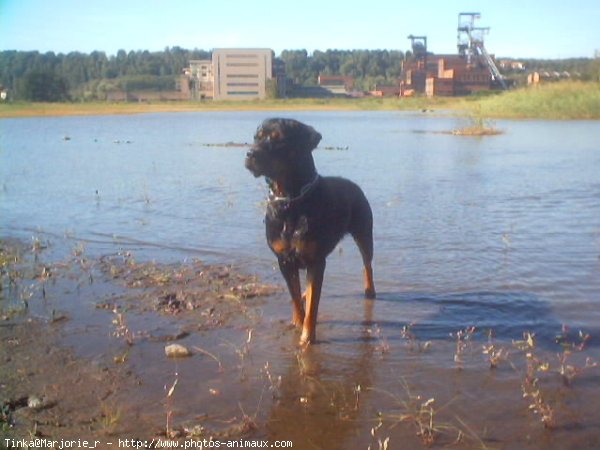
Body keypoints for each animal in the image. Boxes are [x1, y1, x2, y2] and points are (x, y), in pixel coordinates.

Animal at [244, 117, 376, 344]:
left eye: (279, 139)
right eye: (256, 137)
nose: (250, 153)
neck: (289, 201)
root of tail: (353, 184)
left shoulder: (315, 260)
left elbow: (313, 304)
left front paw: (307, 338)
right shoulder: (284, 259)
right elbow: (295, 296)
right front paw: (297, 321)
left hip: (364, 230)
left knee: (367, 263)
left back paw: (370, 290)